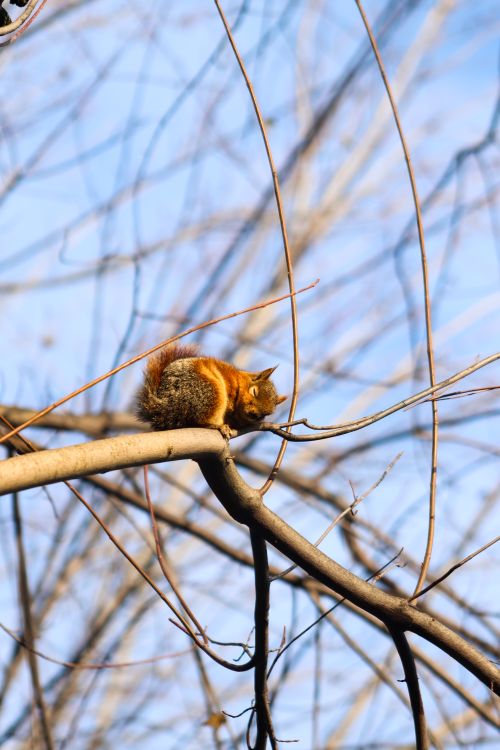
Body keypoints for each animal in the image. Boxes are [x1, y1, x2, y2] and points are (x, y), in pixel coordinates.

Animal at [136, 344, 287, 438]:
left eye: (266, 414)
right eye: (254, 391)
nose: (254, 414)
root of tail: (166, 407)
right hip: (210, 392)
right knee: (200, 420)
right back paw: (218, 426)